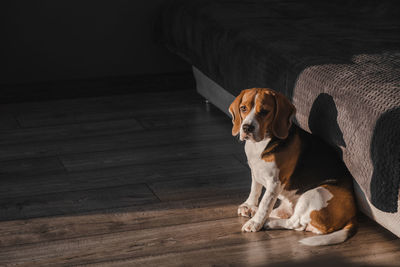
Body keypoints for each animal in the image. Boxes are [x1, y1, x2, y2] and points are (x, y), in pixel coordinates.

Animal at [230, 88, 358, 247]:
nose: (247, 127)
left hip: (314, 193)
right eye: (243, 108)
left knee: (295, 223)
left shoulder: (274, 183)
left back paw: (268, 222)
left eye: (265, 111)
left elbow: (265, 204)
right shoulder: (255, 171)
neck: (263, 143)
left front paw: (255, 223)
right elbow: (255, 190)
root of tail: (353, 216)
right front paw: (249, 205)